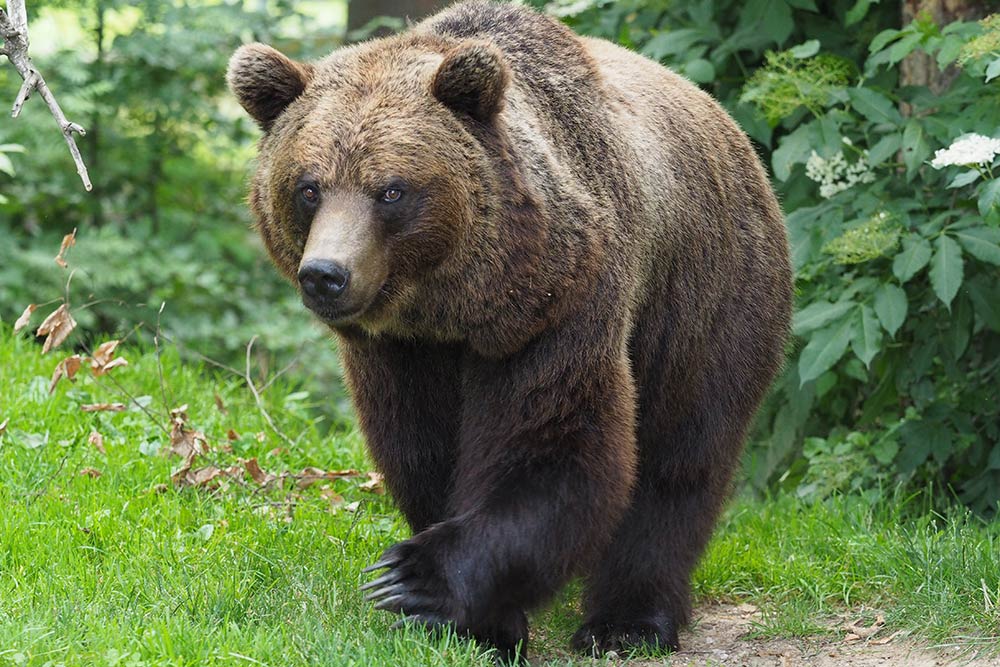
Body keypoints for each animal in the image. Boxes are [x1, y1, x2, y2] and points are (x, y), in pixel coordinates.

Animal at [227, 2, 788, 664]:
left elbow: (556, 446)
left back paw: (629, 622)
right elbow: (422, 450)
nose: (325, 275)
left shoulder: (560, 307)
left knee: (681, 459)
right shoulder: (398, 354)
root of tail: (735, 133)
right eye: (308, 187)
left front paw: (414, 579)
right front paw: (478, 625)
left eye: (391, 190)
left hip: (707, 300)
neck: (455, 306)